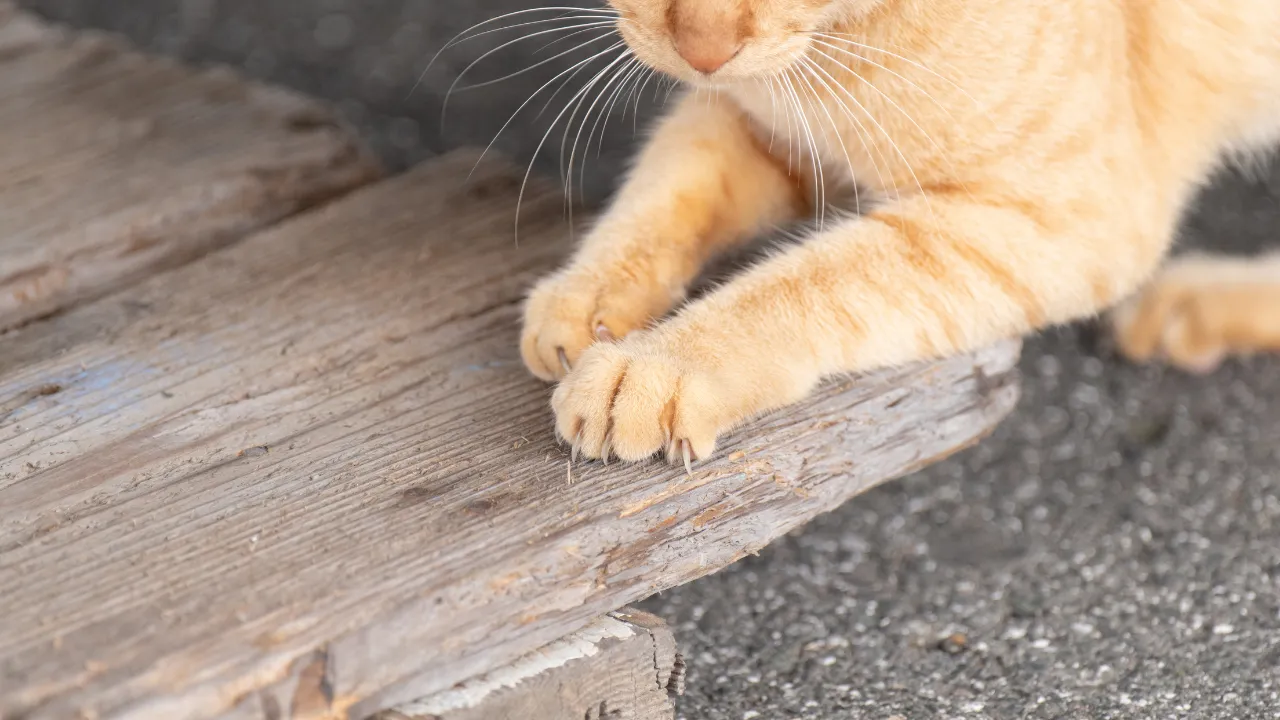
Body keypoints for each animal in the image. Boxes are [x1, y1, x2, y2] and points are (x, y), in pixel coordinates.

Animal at [517, 0, 1280, 466]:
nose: (704, 50)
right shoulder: (758, 124)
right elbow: (664, 191)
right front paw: (587, 294)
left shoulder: (1070, 217)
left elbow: (804, 283)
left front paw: (660, 361)